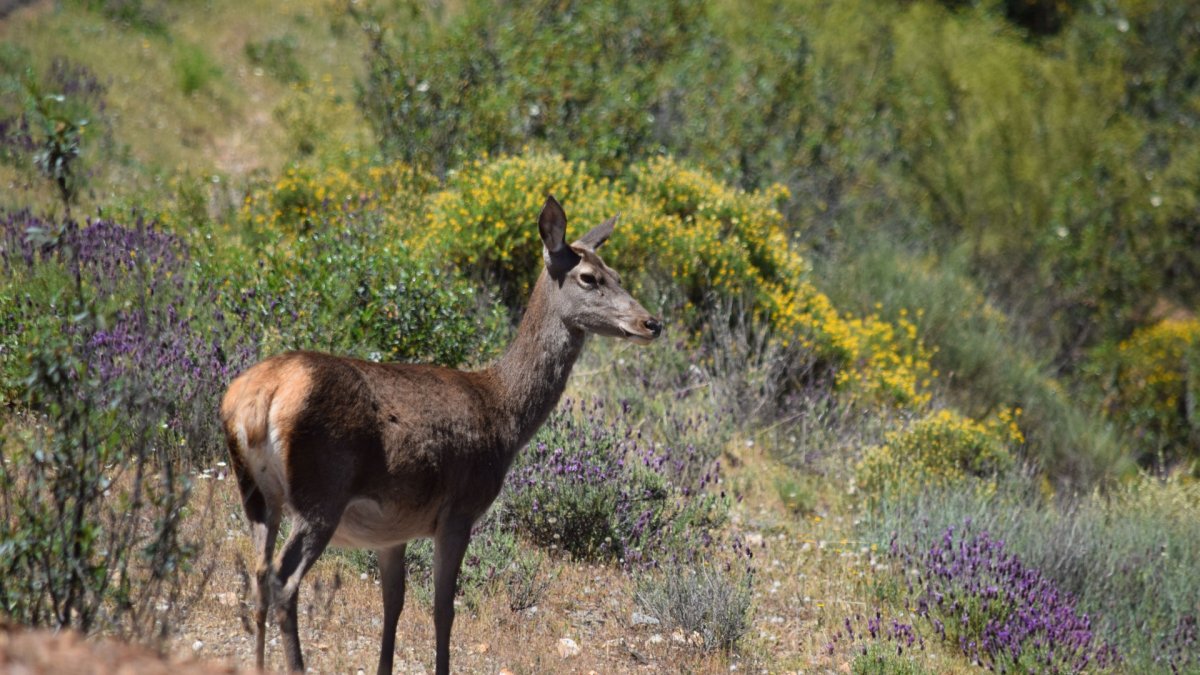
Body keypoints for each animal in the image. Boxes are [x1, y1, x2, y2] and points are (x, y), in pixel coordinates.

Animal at [219, 195, 662, 674]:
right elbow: (442, 608)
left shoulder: (392, 528)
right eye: (589, 277)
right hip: (321, 490)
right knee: (283, 579)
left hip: (256, 493)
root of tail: (257, 399)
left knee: (259, 574)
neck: (503, 415)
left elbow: (393, 603)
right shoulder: (459, 509)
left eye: (618, 275)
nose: (651, 323)